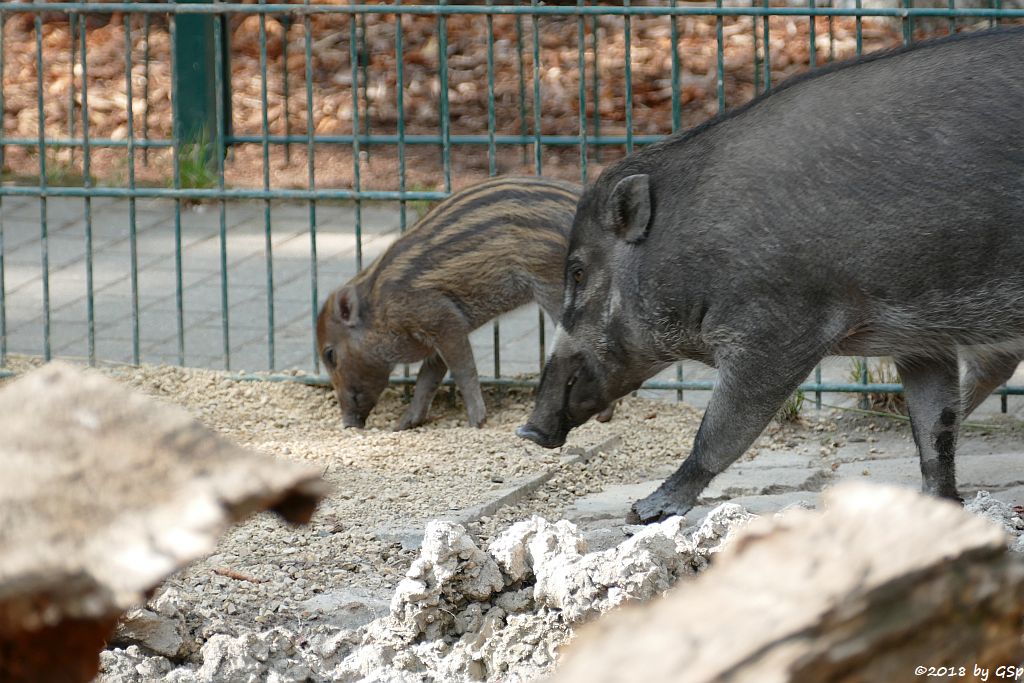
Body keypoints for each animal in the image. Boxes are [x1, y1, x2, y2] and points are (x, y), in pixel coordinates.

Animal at [317, 178, 598, 432]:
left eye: (330, 354)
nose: (348, 423)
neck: (380, 310)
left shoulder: (441, 319)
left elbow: (462, 369)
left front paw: (477, 422)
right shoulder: (436, 336)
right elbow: (428, 377)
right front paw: (403, 425)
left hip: (553, 288)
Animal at [520, 28, 1024, 524]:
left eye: (578, 272)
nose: (528, 430)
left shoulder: (776, 331)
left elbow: (722, 429)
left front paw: (644, 512)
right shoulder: (919, 341)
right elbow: (934, 424)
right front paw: (939, 504)